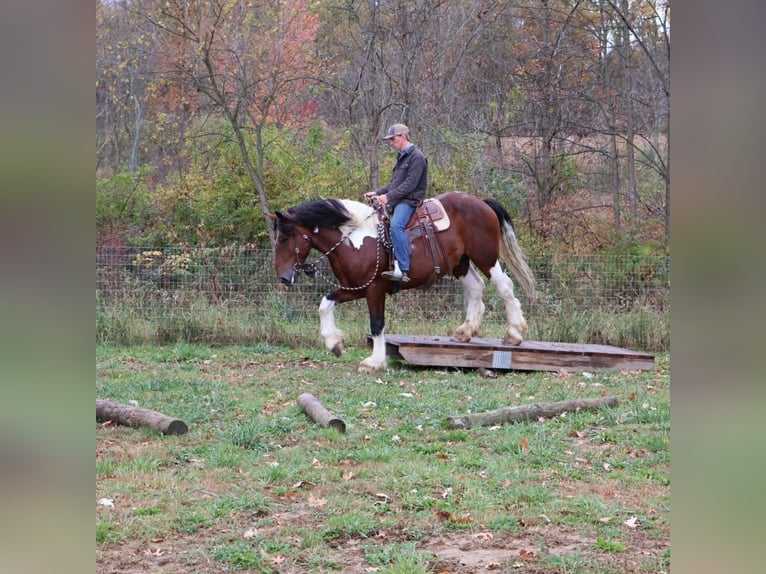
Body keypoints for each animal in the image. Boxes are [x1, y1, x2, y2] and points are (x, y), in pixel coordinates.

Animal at [271, 191, 536, 372]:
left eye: (284, 238)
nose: (283, 277)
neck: (355, 239)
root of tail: (481, 203)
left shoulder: (374, 290)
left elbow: (377, 324)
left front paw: (374, 362)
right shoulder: (354, 288)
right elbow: (325, 304)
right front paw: (334, 343)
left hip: (485, 257)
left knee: (505, 286)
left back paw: (514, 333)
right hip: (460, 263)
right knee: (475, 287)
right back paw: (465, 331)